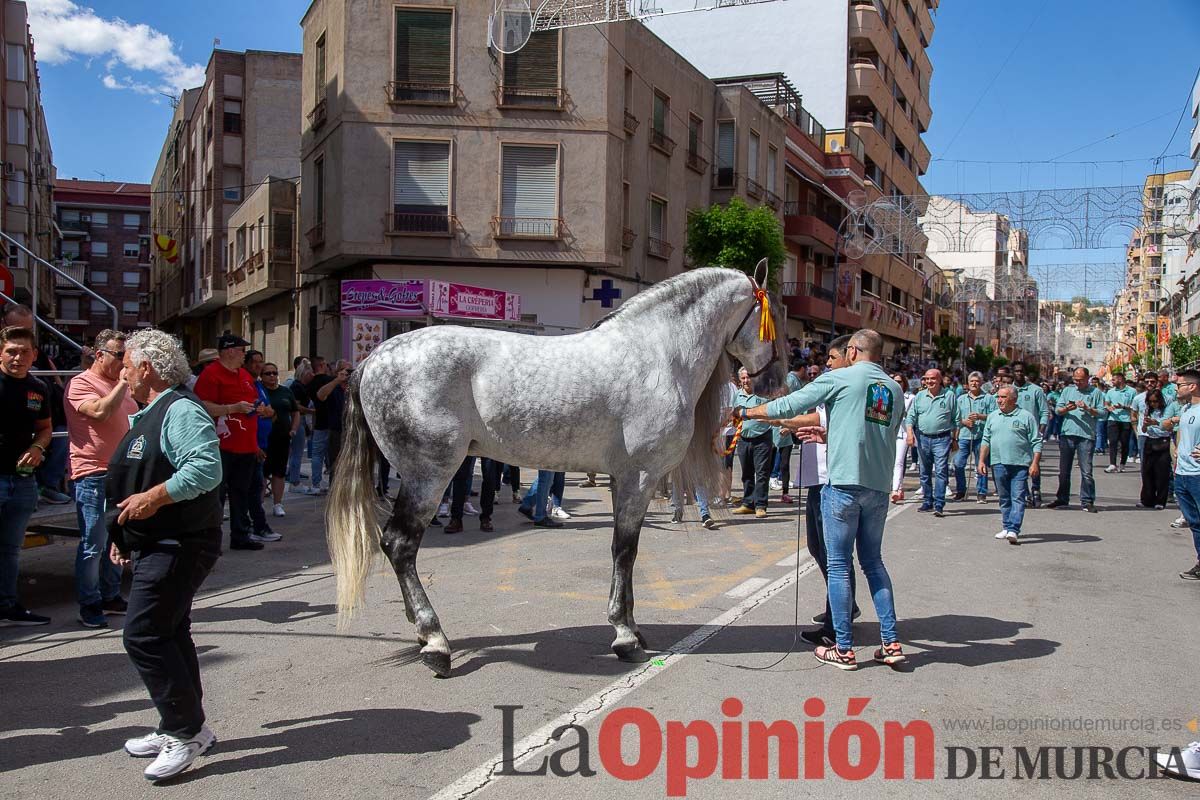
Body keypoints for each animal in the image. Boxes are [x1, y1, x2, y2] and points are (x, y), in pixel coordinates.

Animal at [327, 260, 787, 677]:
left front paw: (633, 628)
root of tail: (372, 360)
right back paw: (435, 642)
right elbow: (624, 550)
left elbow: (628, 552)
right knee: (399, 545)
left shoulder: (623, 479)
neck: (657, 353)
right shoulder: (638, 477)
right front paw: (624, 637)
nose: (773, 383)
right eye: (772, 319)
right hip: (429, 476)